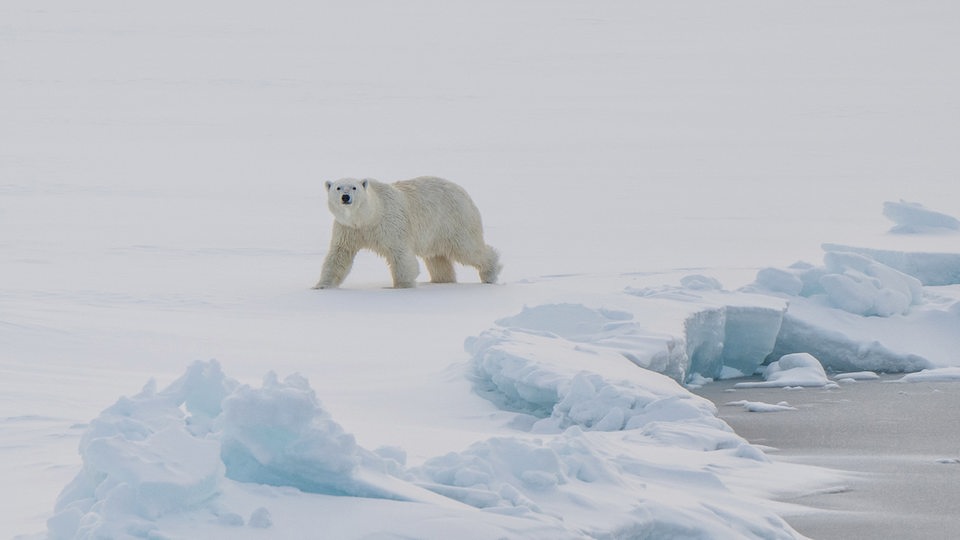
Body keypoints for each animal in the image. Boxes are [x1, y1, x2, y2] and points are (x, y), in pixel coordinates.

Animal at [316, 176, 502, 286]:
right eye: (338, 188)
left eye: (354, 188)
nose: (345, 197)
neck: (368, 217)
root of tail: (463, 191)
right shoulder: (348, 229)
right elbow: (339, 255)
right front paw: (322, 286)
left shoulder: (390, 224)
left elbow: (400, 255)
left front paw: (402, 286)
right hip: (435, 233)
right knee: (437, 258)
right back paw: (442, 281)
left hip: (453, 221)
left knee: (468, 249)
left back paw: (490, 274)